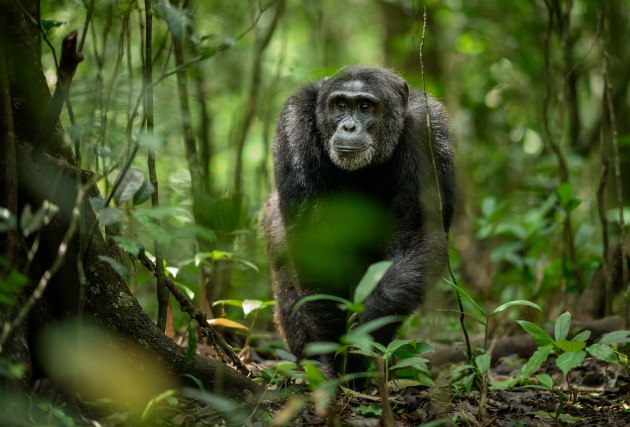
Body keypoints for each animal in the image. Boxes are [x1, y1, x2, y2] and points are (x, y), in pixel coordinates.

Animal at [264, 66, 456, 378]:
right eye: (341, 105)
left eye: (366, 107)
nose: (349, 127)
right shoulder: (294, 123)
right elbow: (314, 238)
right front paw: (337, 353)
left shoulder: (428, 130)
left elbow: (417, 234)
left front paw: (365, 329)